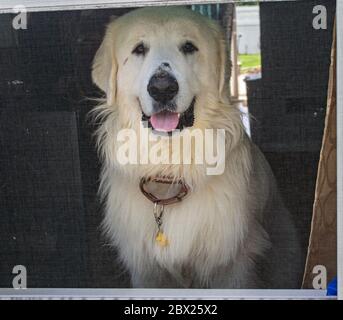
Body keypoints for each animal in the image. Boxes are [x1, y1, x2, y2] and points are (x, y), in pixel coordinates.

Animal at [92, 6, 304, 288]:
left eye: (189, 47)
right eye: (139, 49)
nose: (162, 88)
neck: (170, 167)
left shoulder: (232, 266)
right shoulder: (147, 271)